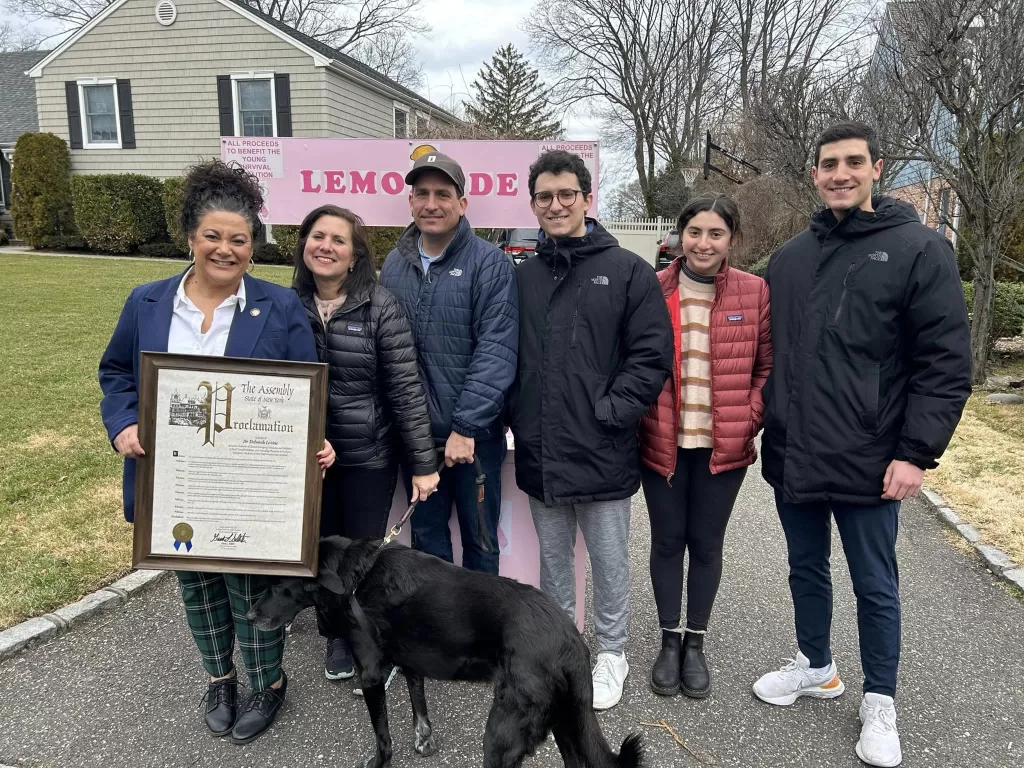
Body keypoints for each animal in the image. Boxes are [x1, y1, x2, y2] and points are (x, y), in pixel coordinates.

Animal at [246, 536, 638, 768]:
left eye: (279, 584)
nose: (249, 617)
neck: (357, 577)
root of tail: (569, 641)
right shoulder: (412, 660)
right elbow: (419, 704)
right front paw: (424, 741)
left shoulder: (371, 675)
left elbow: (383, 737)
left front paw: (379, 762)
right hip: (566, 724)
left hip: (502, 735)